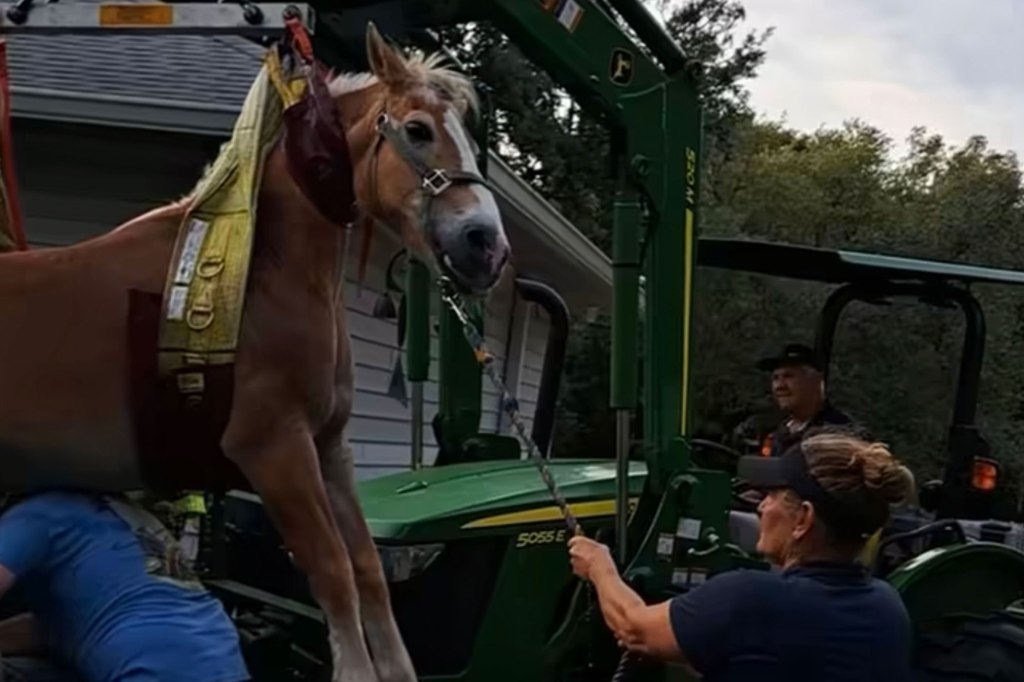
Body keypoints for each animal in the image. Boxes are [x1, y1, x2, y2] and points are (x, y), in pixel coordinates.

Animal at [0, 21, 509, 679]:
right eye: (418, 129)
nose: (487, 246)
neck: (261, 273)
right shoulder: (272, 448)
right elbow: (333, 573)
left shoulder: (329, 448)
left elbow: (367, 571)